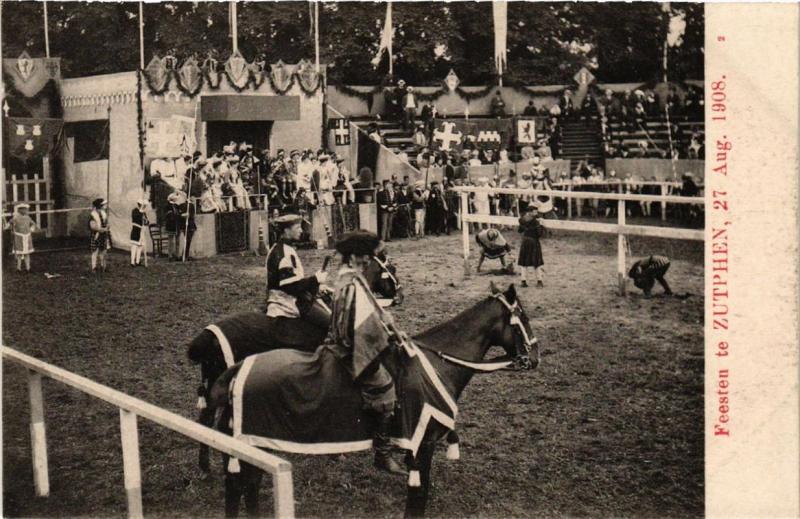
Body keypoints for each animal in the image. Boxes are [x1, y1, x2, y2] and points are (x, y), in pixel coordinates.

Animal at [208, 284, 544, 519]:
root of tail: (237, 368)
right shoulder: (422, 446)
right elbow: (417, 500)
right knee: (241, 486)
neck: (439, 362)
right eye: (524, 317)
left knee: (244, 487)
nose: (536, 357)